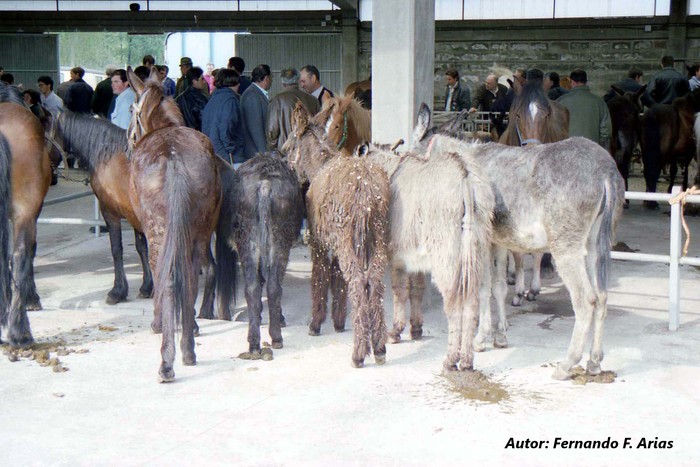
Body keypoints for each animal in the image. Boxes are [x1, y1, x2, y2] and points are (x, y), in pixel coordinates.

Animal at [49, 111, 153, 306]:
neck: (109, 155)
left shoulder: (110, 212)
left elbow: (117, 249)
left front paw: (117, 291)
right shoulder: (134, 216)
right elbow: (142, 247)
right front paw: (147, 287)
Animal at [126, 67, 221, 382]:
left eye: (132, 109)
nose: (129, 142)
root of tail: (173, 157)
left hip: (159, 231)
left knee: (166, 277)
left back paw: (167, 361)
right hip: (198, 232)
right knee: (191, 276)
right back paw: (188, 347)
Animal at [216, 152, 304, 356]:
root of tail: (264, 183)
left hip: (249, 243)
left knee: (254, 288)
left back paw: (256, 342)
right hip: (277, 243)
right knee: (273, 286)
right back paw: (276, 336)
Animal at [284, 102, 394, 370]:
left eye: (290, 144)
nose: (281, 156)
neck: (317, 166)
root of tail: (366, 192)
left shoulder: (319, 243)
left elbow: (320, 279)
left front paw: (316, 323)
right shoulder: (333, 244)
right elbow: (338, 282)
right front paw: (338, 321)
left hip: (349, 241)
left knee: (358, 282)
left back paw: (358, 353)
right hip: (377, 239)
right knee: (375, 282)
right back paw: (379, 347)